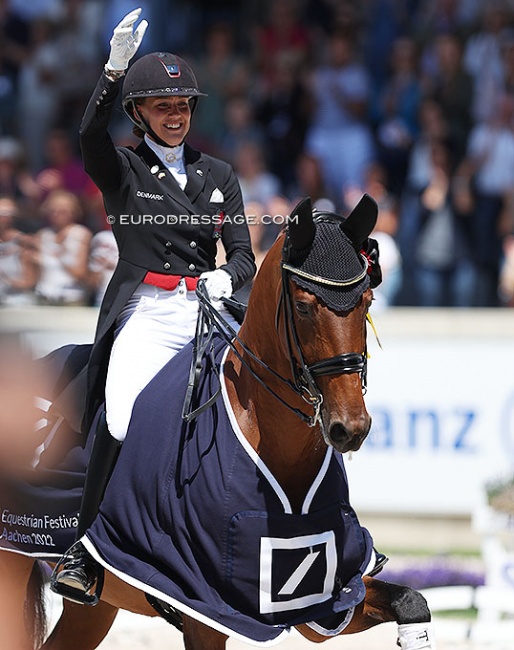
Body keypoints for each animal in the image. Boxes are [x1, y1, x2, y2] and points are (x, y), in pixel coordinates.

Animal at [0, 195, 432, 644]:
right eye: (302, 306)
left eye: (367, 303)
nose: (350, 428)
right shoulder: (204, 608)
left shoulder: (324, 597)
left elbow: (411, 601)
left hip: (98, 605)